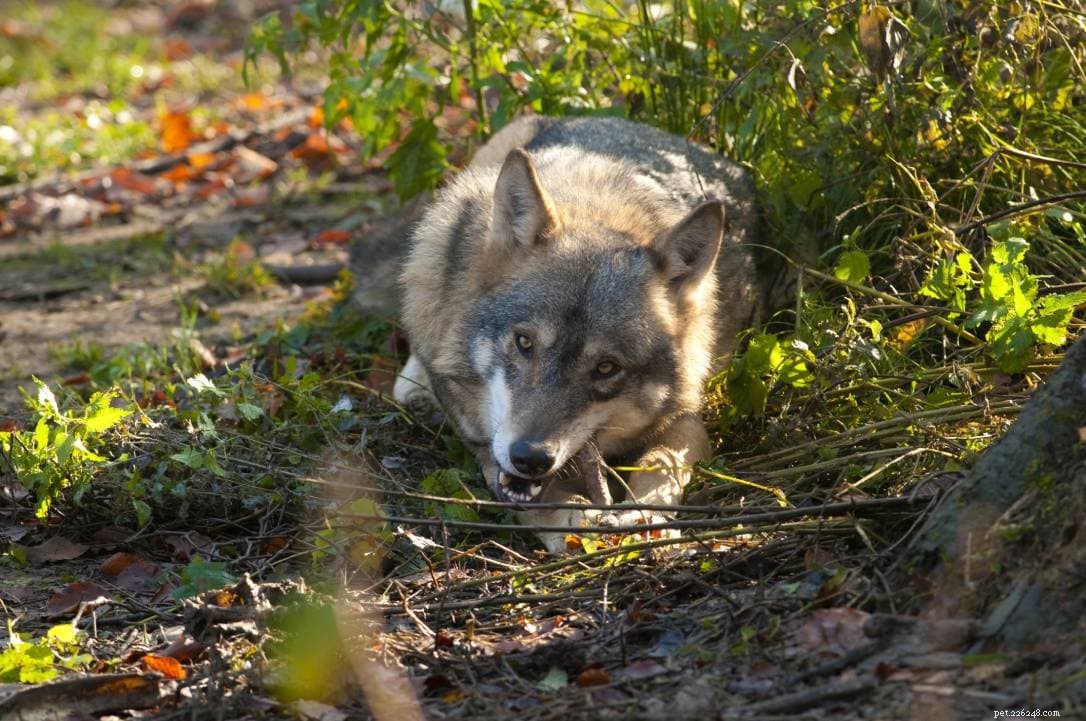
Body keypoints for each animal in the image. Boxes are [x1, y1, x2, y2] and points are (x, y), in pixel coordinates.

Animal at [391, 115, 771, 552]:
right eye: (524, 343)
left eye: (606, 368)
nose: (530, 458)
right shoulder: (488, 451)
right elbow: (540, 498)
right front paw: (576, 521)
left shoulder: (688, 416)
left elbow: (661, 463)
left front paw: (647, 517)